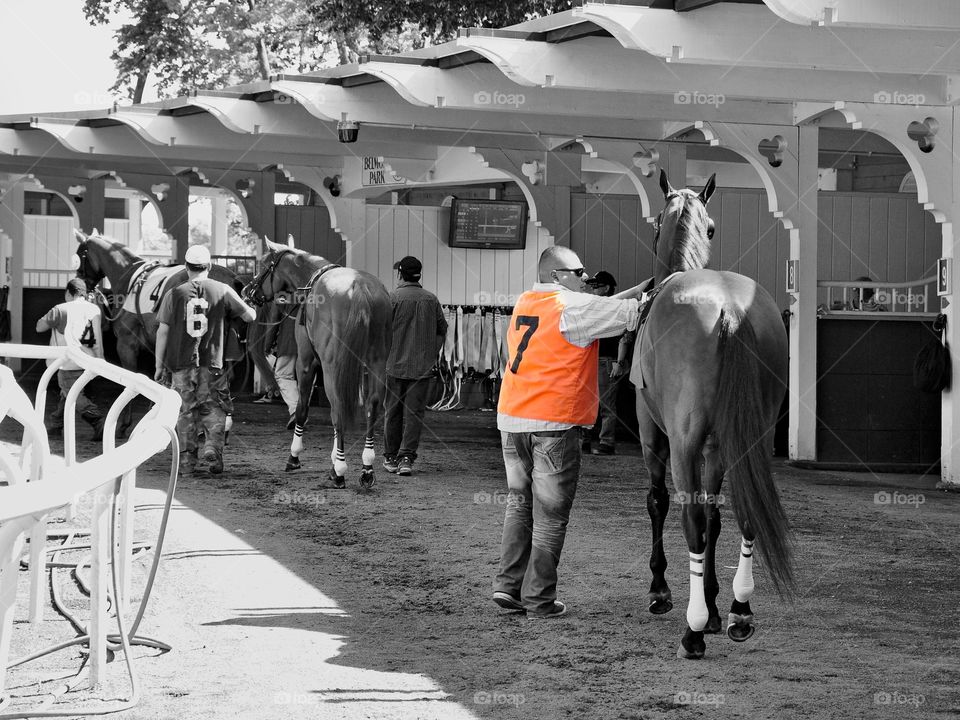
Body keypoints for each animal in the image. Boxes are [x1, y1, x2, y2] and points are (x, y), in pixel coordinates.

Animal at [72, 228, 270, 436]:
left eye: (79, 255)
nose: (80, 283)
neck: (130, 280)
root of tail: (232, 279)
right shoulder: (158, 342)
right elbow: (158, 377)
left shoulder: (127, 344)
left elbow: (132, 378)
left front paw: (125, 423)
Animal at [242, 236, 392, 490]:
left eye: (262, 265)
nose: (247, 291)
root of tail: (359, 287)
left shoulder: (307, 361)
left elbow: (302, 408)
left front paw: (294, 456)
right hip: (376, 364)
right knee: (371, 406)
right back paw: (366, 467)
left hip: (333, 368)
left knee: (338, 408)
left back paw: (339, 471)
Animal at [632, 172, 792, 660]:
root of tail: (731, 309)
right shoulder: (719, 447)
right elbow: (715, 515)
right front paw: (719, 604)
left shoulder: (654, 435)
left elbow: (663, 504)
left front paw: (664, 592)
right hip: (754, 438)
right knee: (744, 513)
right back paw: (740, 610)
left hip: (682, 443)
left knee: (689, 520)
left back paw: (694, 630)